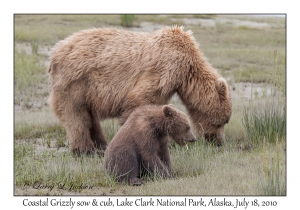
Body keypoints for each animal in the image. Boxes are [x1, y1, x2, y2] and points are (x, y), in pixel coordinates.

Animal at [48, 26, 232, 154]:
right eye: (220, 122)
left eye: (225, 121)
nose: (218, 142)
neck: (188, 71)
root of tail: (55, 51)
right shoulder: (166, 69)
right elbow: (138, 99)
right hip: (76, 82)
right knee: (76, 115)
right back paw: (85, 149)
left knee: (89, 116)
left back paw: (101, 144)